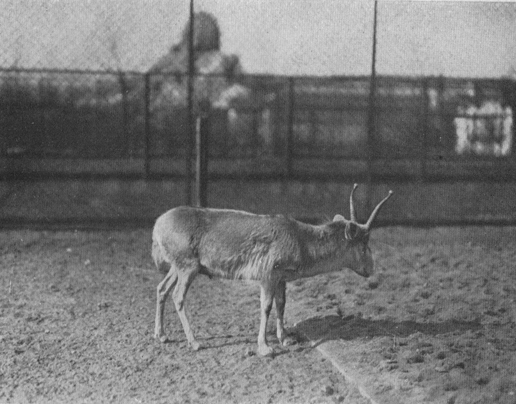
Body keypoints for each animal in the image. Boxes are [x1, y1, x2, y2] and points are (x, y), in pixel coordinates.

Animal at [151, 185, 394, 356]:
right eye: (364, 242)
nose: (371, 269)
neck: (301, 242)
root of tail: (157, 225)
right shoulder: (268, 274)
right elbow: (266, 306)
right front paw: (265, 347)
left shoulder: (281, 277)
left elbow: (282, 304)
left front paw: (285, 338)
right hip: (188, 265)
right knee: (177, 295)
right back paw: (194, 342)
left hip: (177, 265)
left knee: (162, 288)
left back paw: (161, 335)